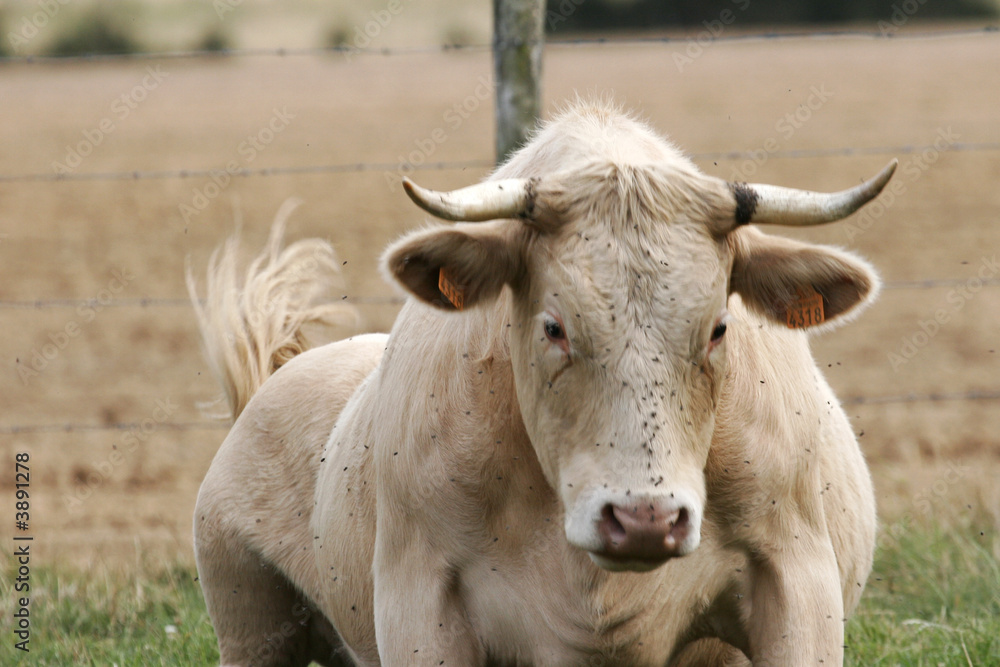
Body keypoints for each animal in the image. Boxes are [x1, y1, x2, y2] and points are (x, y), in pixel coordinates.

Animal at [191, 100, 888, 667]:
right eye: (554, 327)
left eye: (719, 327)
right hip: (249, 623)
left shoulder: (797, 582)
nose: (644, 520)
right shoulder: (421, 602)